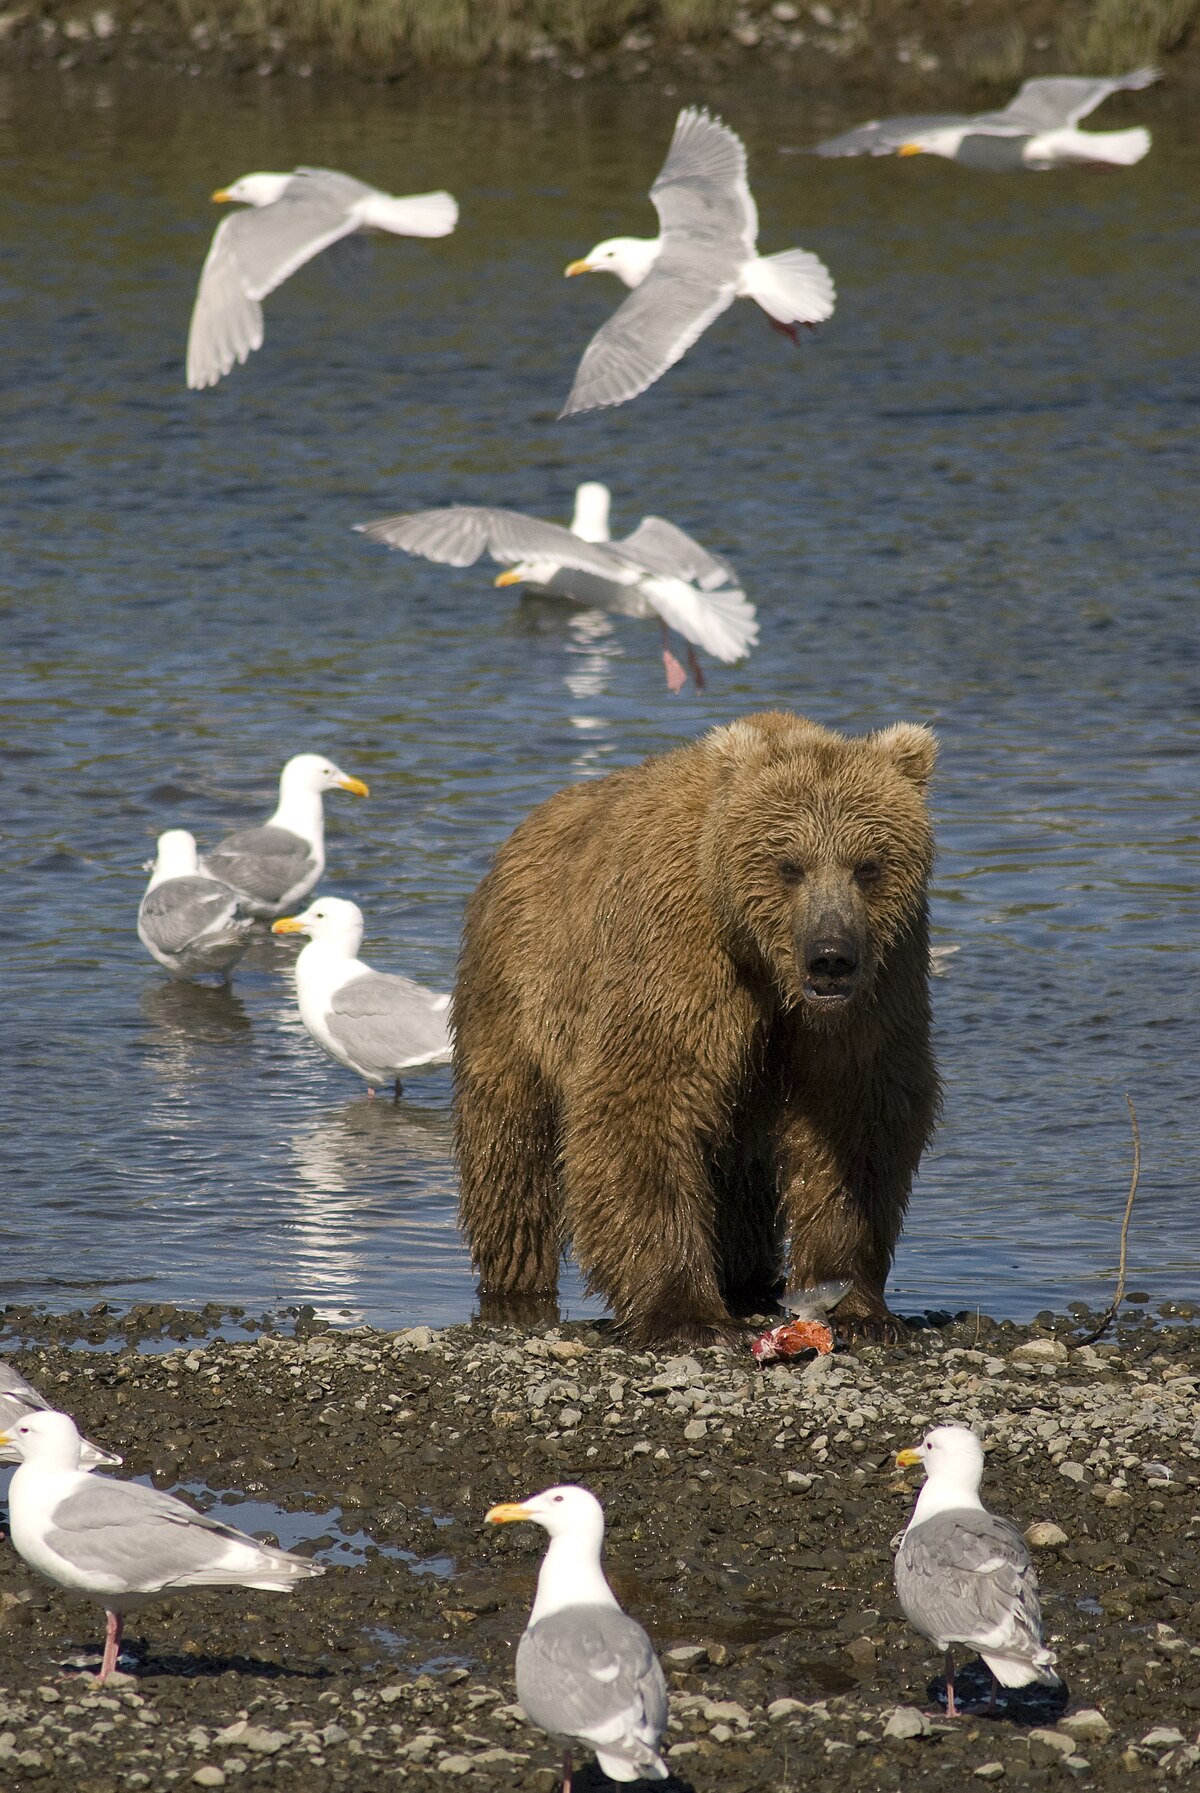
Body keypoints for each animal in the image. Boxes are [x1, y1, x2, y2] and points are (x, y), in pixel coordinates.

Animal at [453, 710, 939, 1348]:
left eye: (868, 865)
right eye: (789, 865)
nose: (830, 956)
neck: (766, 962)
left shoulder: (882, 980)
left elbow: (857, 1116)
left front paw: (858, 1305)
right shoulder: (678, 948)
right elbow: (646, 1095)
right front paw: (687, 1314)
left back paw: (747, 1276)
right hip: (520, 987)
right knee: (510, 1145)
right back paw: (516, 1279)